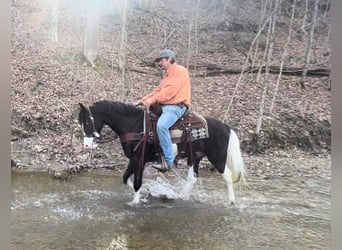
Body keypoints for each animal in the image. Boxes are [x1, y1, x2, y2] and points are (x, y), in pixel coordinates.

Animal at [79, 99, 247, 205]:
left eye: (87, 122)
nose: (86, 145)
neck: (136, 126)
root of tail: (226, 127)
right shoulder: (133, 159)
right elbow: (126, 178)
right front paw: (145, 193)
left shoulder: (139, 159)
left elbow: (137, 182)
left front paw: (134, 202)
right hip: (195, 157)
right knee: (192, 178)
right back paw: (182, 196)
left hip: (217, 157)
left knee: (227, 176)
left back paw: (231, 201)